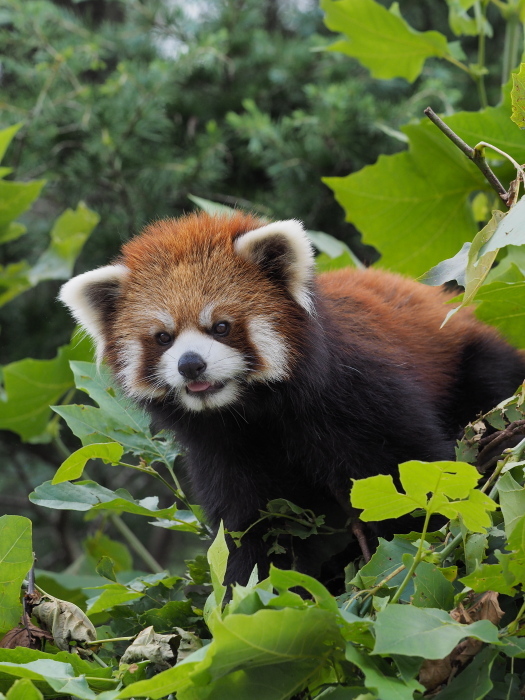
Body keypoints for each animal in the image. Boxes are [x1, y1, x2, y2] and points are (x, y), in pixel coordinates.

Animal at [59, 212, 520, 584]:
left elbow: (417, 479)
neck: (254, 412)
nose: (190, 365)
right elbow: (249, 531)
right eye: (163, 337)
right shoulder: (224, 454)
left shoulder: (361, 398)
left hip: (474, 364)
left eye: (221, 326)